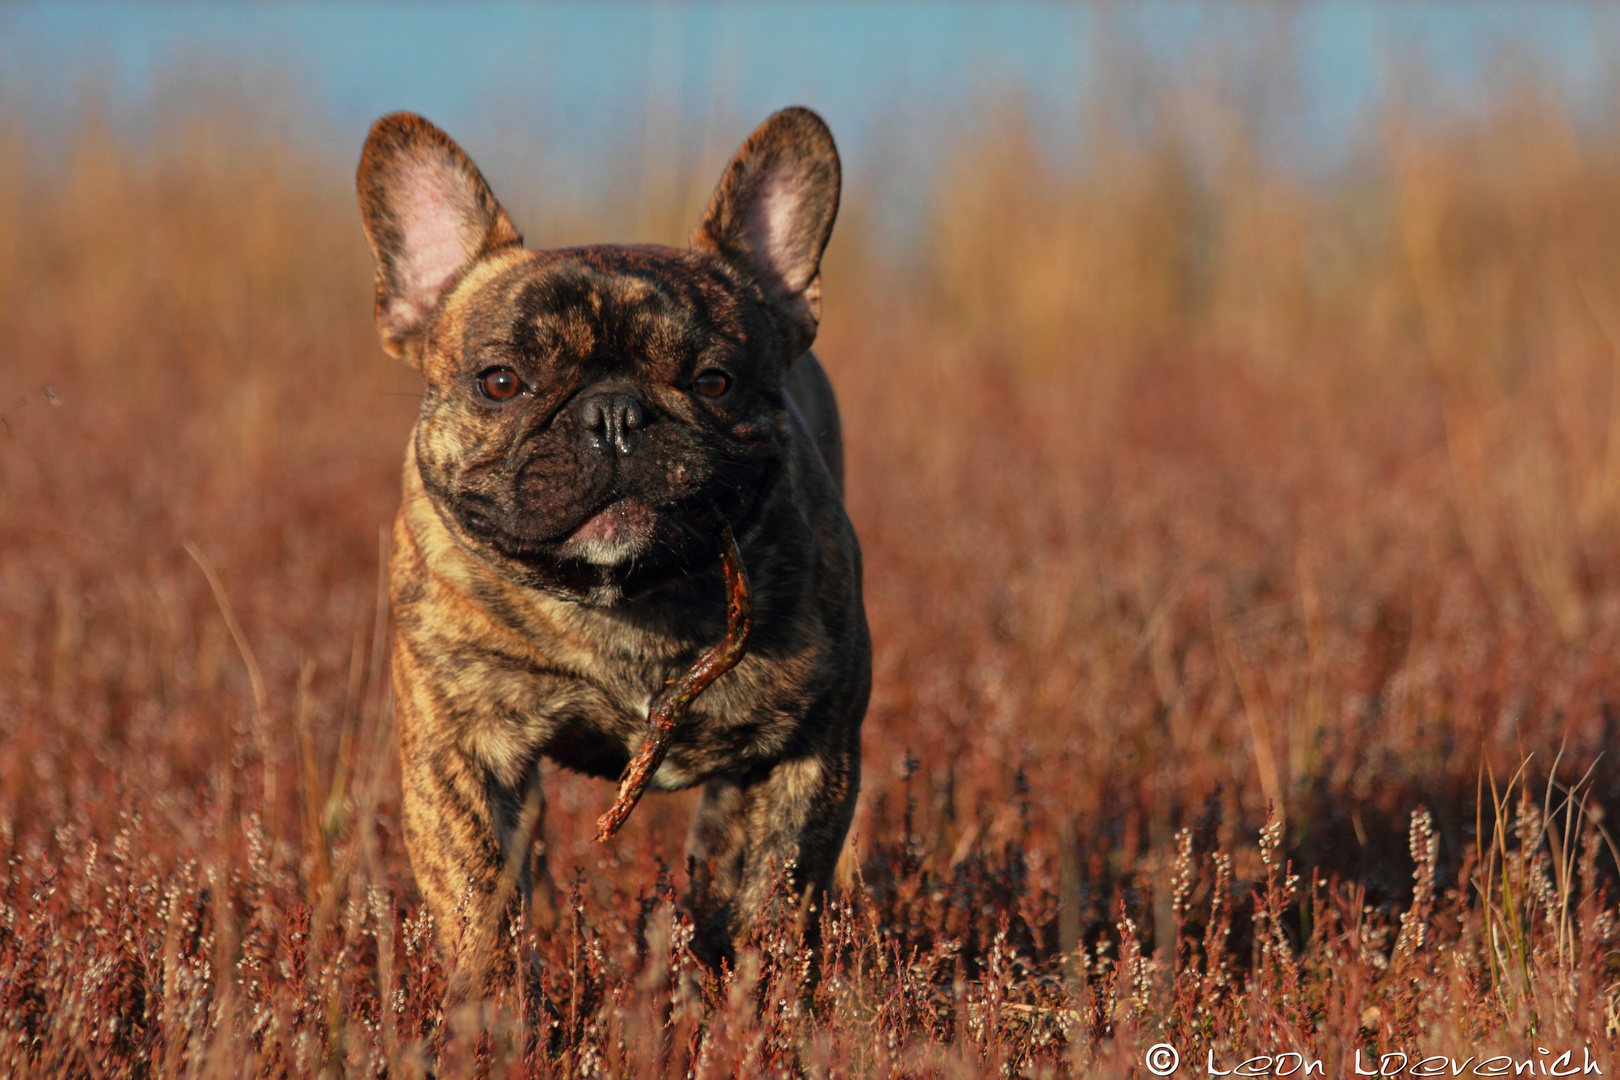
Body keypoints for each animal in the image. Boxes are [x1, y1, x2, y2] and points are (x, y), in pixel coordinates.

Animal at [359, 105, 874, 990]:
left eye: (714, 382)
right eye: (501, 381)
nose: (613, 414)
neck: (623, 600)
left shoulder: (806, 752)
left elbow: (768, 894)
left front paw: (751, 997)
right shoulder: (459, 750)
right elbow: (479, 899)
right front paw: (493, 1004)